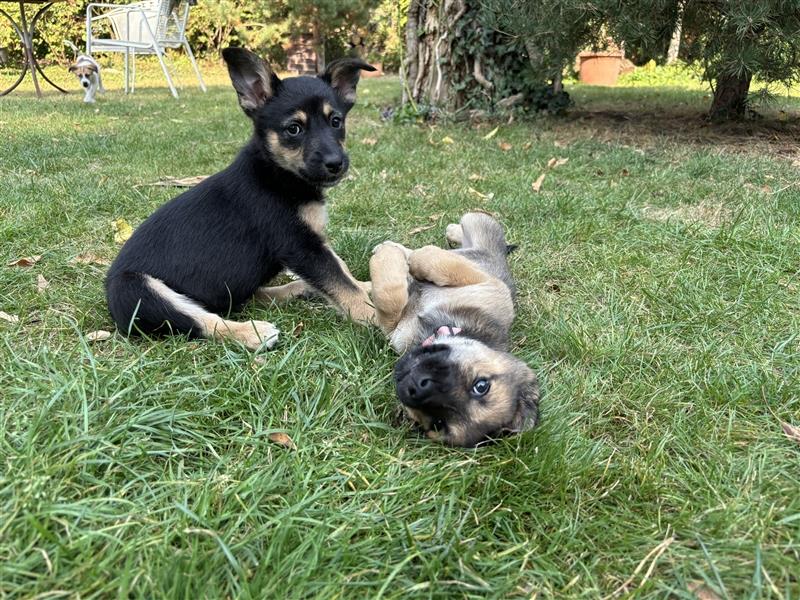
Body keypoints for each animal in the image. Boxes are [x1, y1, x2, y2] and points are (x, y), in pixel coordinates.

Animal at [105, 48, 376, 352]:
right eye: (294, 129)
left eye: (336, 122)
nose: (336, 164)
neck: (277, 173)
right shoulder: (300, 246)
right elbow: (341, 283)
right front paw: (375, 316)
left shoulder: (314, 242)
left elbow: (342, 270)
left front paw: (366, 286)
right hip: (135, 289)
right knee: (203, 320)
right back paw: (253, 333)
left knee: (243, 298)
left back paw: (299, 290)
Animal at [368, 213, 536, 448]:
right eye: (481, 386)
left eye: (438, 424)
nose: (419, 385)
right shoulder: (489, 285)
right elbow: (435, 267)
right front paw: (399, 256)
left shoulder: (394, 329)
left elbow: (390, 299)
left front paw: (391, 257)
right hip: (478, 222)